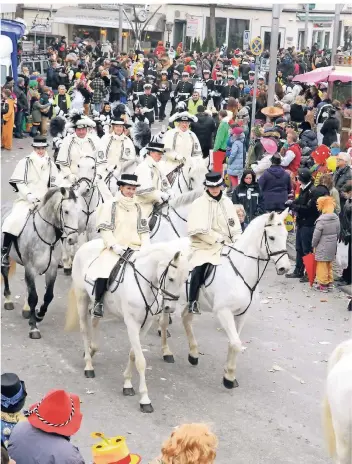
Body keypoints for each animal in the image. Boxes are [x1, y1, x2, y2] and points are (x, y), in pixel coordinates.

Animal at [1, 187, 80, 338]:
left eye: (79, 210)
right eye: (66, 211)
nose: (73, 239)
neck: (46, 235)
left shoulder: (52, 269)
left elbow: (48, 296)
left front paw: (39, 315)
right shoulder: (30, 268)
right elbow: (34, 297)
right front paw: (33, 327)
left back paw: (26, 309)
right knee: (5, 271)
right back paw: (8, 300)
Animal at [65, 237, 190, 412]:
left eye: (185, 280)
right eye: (171, 278)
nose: (169, 309)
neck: (145, 283)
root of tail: (85, 244)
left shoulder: (145, 325)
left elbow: (133, 354)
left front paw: (127, 384)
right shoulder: (131, 323)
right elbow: (141, 361)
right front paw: (145, 399)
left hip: (97, 302)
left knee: (95, 321)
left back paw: (91, 349)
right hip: (82, 297)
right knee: (84, 329)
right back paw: (88, 366)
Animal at [160, 210, 292, 388]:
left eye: (285, 235)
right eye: (271, 237)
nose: (285, 268)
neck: (240, 270)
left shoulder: (242, 314)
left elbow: (233, 342)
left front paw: (229, 373)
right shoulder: (223, 311)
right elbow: (236, 343)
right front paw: (228, 378)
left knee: (186, 319)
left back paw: (193, 354)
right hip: (167, 298)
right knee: (164, 322)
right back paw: (167, 352)